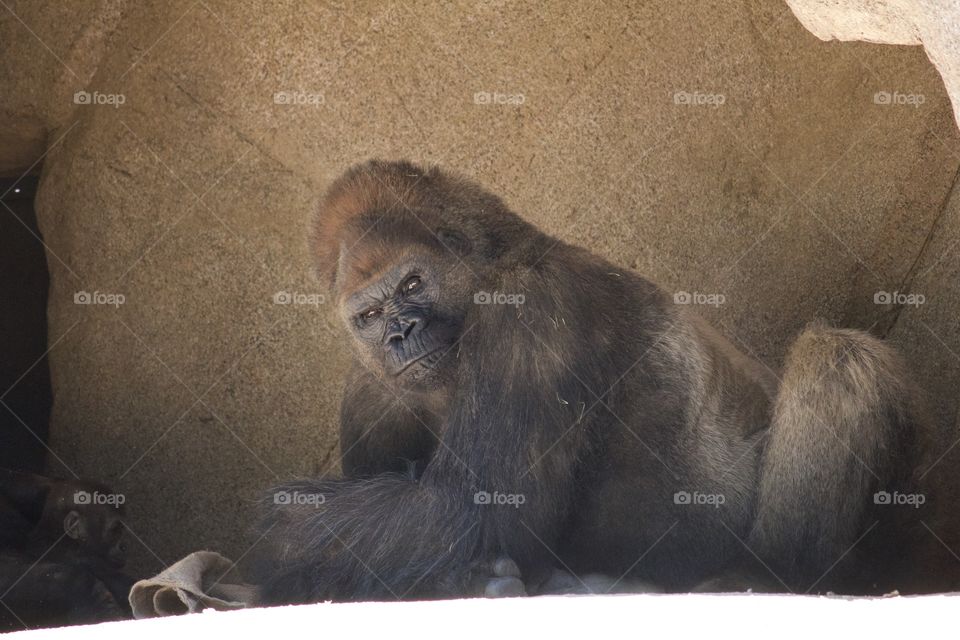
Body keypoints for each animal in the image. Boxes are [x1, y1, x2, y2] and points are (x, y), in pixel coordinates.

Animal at [252, 159, 951, 603]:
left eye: (414, 283)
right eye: (369, 316)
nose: (400, 334)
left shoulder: (535, 303)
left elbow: (469, 512)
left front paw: (276, 539)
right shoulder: (368, 385)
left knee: (837, 357)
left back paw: (767, 576)